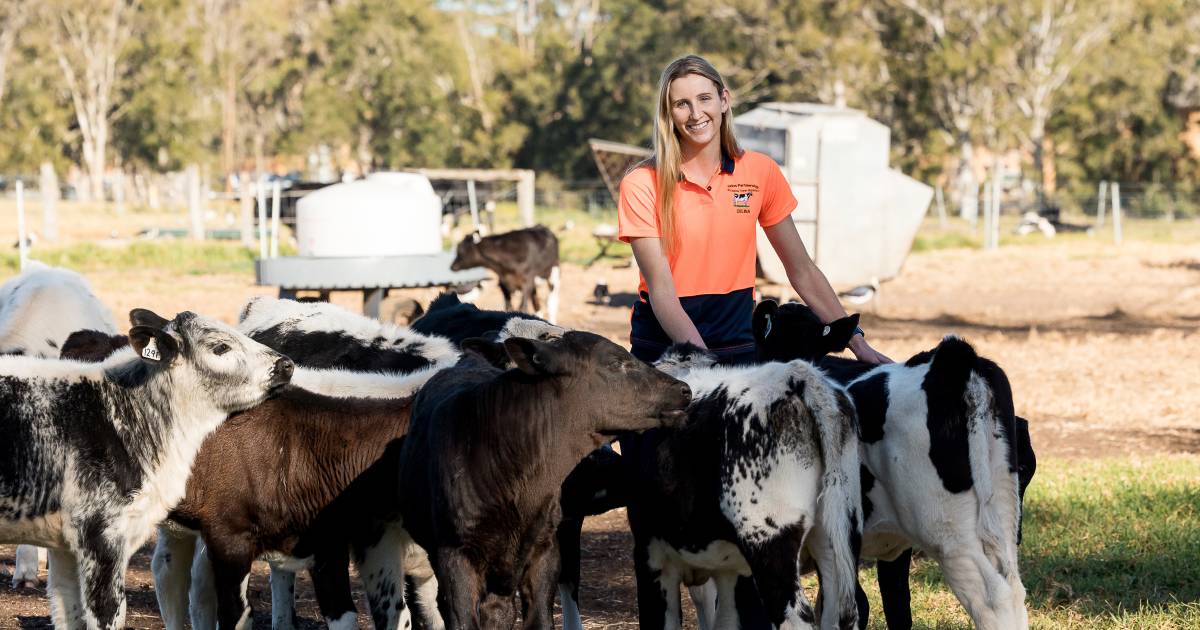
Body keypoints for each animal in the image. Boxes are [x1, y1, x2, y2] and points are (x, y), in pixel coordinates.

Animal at [0, 307, 292, 628]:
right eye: (220, 347)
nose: (286, 364)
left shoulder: (65, 546)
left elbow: (69, 611)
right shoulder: (102, 537)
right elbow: (110, 612)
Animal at [624, 343, 868, 628]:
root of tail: (793, 375)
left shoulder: (651, 555)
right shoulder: (727, 569)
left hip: (769, 540)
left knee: (796, 615)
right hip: (840, 532)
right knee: (838, 612)